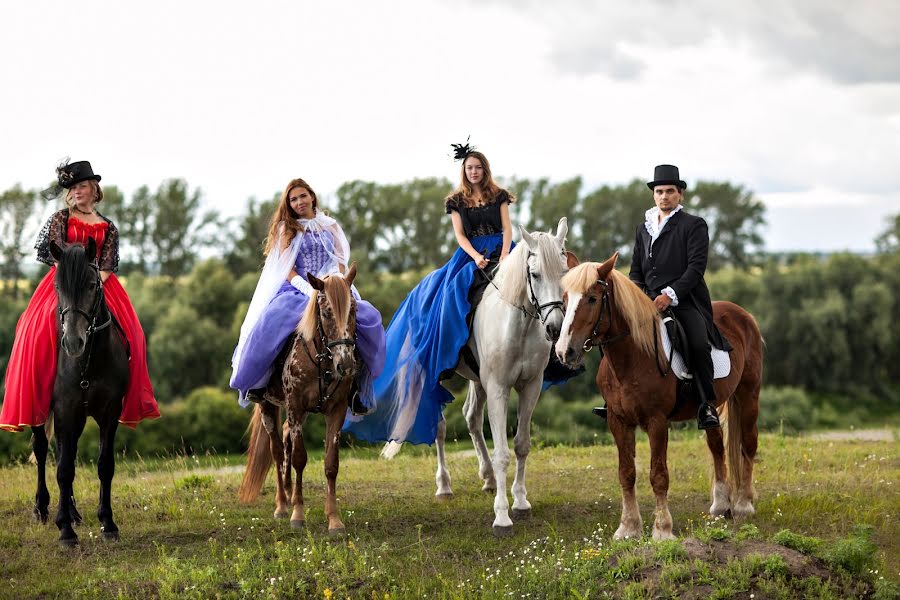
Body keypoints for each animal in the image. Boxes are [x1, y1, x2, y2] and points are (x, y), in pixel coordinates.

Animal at [30, 240, 129, 548]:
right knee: (42, 450)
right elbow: (63, 469)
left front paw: (108, 523)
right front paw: (65, 531)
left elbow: (104, 465)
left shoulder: (110, 412)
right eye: (57, 287)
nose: (73, 343)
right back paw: (42, 508)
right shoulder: (64, 410)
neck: (87, 361)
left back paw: (72, 512)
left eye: (92, 285)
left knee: (67, 453)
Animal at [239, 266, 358, 536]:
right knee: (277, 451)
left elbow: (331, 463)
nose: (345, 365)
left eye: (354, 310)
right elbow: (299, 459)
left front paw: (334, 520)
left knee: (286, 439)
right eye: (326, 312)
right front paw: (297, 515)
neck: (322, 360)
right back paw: (283, 505)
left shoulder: (337, 410)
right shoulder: (294, 405)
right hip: (269, 407)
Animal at [432, 218, 572, 536]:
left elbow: (521, 445)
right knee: (440, 426)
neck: (519, 325)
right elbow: (503, 453)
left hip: (477, 381)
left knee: (471, 417)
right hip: (440, 378)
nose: (555, 328)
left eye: (564, 272)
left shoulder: (530, 387)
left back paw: (487, 477)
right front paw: (502, 516)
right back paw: (444, 485)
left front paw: (520, 502)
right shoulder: (498, 388)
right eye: (534, 274)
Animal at [556, 253, 760, 540]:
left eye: (592, 299)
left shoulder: (657, 422)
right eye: (565, 298)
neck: (634, 357)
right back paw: (721, 505)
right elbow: (626, 473)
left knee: (748, 444)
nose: (565, 352)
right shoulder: (618, 421)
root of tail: (742, 314)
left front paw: (662, 529)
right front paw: (628, 527)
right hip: (711, 405)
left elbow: (658, 475)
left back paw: (743, 504)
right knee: (717, 446)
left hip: (749, 394)